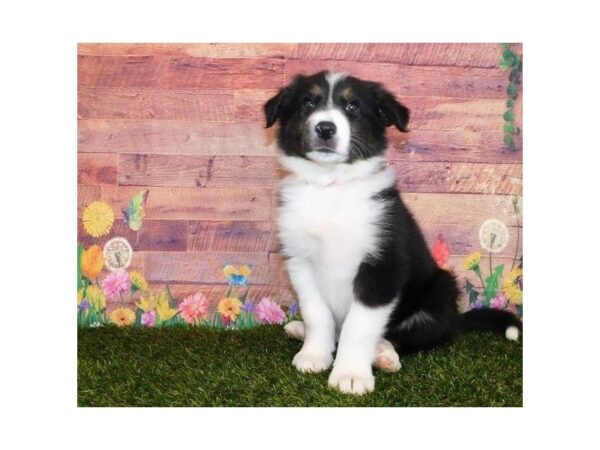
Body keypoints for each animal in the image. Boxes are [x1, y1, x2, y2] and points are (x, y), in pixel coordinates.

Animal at [262, 70, 520, 394]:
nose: (325, 128)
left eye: (352, 107)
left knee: (412, 336)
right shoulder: (301, 261)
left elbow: (359, 326)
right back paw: (301, 330)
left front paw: (350, 375)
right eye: (308, 103)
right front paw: (313, 354)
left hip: (440, 290)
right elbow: (316, 314)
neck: (331, 186)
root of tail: (456, 320)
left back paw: (383, 354)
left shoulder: (383, 265)